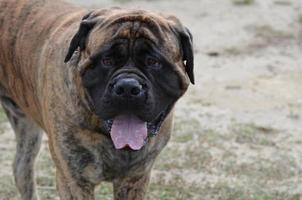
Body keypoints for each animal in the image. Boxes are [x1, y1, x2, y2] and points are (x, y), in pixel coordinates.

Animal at [0, 0, 195, 198]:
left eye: (153, 62)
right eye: (107, 60)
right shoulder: (73, 180)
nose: (127, 87)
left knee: (22, 168)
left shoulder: (135, 179)